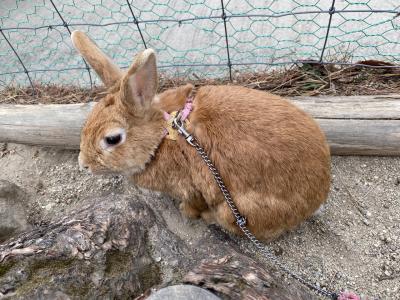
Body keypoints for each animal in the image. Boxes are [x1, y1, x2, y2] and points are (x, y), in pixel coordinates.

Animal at [72, 30, 332, 240]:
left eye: (112, 139)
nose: (83, 165)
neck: (163, 135)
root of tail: (318, 196)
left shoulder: (193, 188)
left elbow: (193, 204)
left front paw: (186, 212)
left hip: (234, 211)